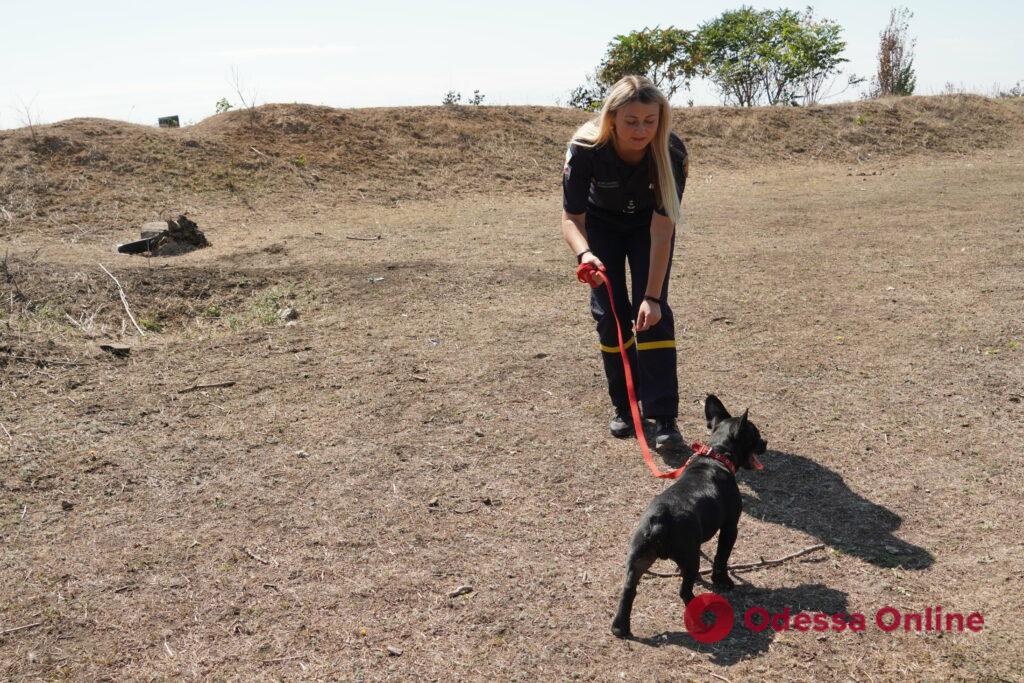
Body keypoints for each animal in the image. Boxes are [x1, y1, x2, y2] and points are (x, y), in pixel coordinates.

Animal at [610, 395, 765, 643]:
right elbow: (721, 558)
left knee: (628, 590)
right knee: (684, 591)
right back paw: (698, 609)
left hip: (639, 558)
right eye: (755, 435)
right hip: (690, 558)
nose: (766, 442)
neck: (716, 456)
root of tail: (659, 520)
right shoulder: (730, 528)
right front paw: (723, 581)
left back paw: (620, 628)